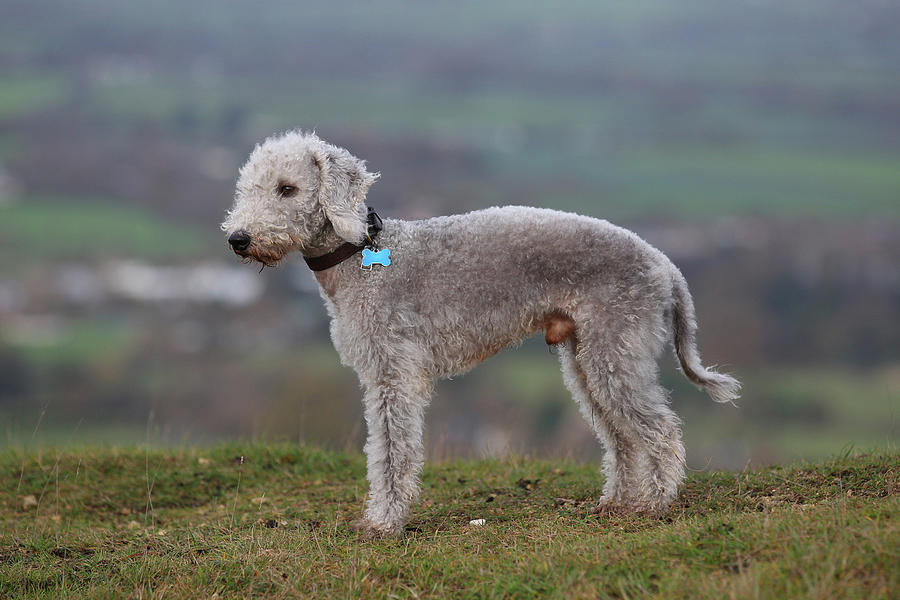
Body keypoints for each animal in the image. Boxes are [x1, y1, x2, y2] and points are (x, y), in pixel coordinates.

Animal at [221, 131, 740, 540]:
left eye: (287, 189)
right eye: (247, 187)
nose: (238, 239)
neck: (360, 256)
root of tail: (665, 265)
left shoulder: (393, 373)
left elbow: (391, 450)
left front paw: (383, 524)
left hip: (616, 346)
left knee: (660, 430)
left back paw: (655, 505)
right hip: (589, 357)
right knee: (623, 436)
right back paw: (619, 503)